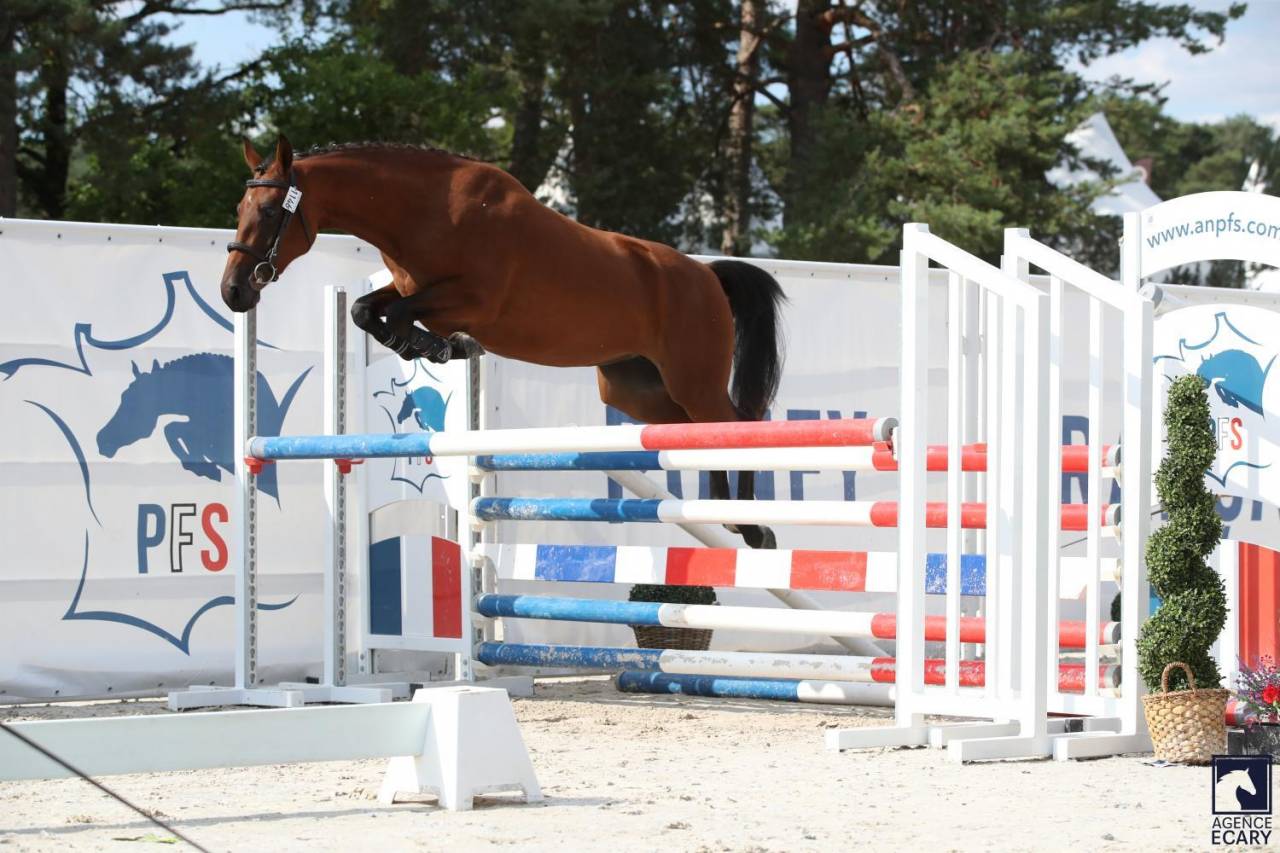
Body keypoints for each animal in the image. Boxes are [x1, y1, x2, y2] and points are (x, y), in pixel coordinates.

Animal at [221, 136, 787, 548]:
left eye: (269, 212)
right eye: (239, 208)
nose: (233, 292)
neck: (425, 211)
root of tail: (707, 273)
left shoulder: (472, 302)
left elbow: (397, 315)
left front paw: (440, 347)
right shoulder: (409, 288)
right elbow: (365, 310)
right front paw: (432, 348)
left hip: (693, 377)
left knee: (739, 423)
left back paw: (753, 525)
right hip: (635, 389)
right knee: (705, 431)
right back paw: (730, 517)